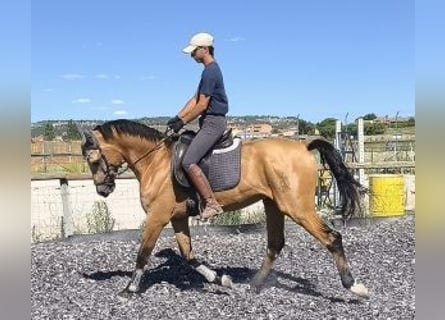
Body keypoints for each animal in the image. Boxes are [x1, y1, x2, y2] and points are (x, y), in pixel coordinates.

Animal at [79, 119, 368, 298]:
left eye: (92, 160)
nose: (103, 190)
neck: (156, 162)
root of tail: (303, 145)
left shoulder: (157, 217)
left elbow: (143, 253)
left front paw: (130, 289)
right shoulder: (178, 218)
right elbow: (188, 255)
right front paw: (220, 279)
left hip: (297, 208)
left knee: (332, 238)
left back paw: (354, 286)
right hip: (274, 204)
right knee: (275, 244)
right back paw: (253, 285)